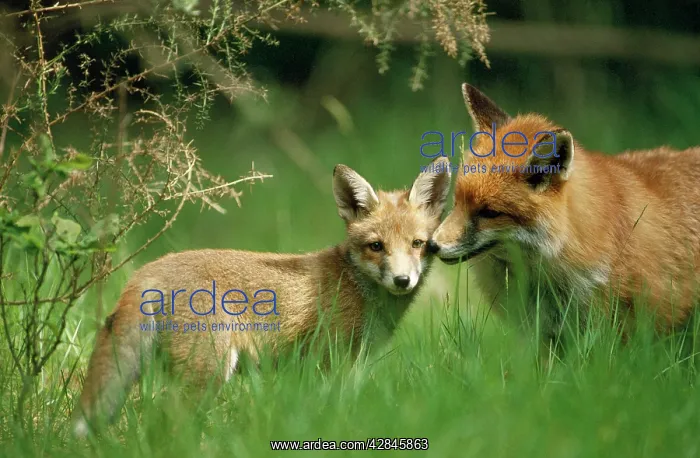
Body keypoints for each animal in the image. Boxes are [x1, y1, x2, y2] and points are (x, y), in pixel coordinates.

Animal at [72, 157, 451, 437]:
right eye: (376, 246)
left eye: (417, 244)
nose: (403, 280)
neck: (355, 285)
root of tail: (147, 270)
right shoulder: (328, 360)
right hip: (208, 372)